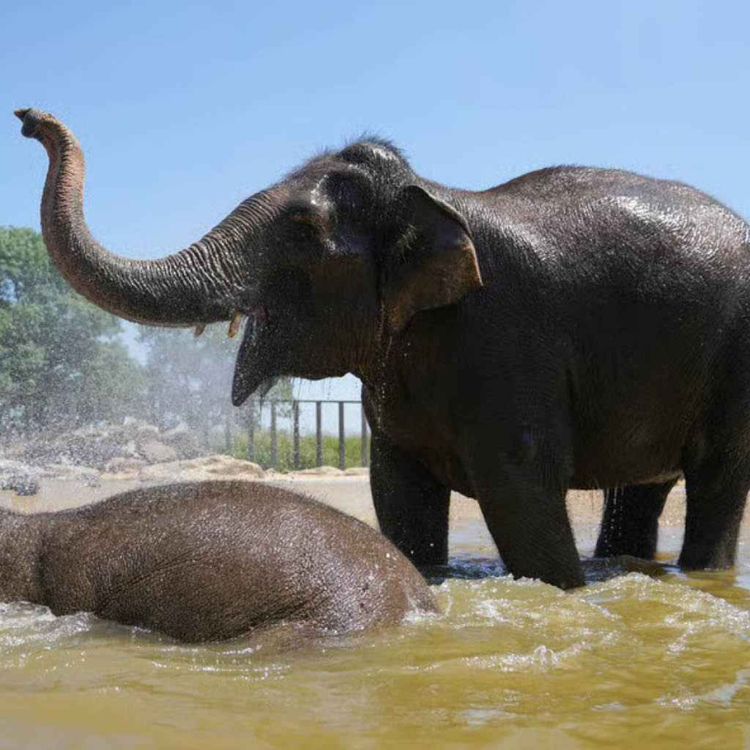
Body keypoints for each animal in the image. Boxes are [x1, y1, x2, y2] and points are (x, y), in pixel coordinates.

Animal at [16, 107, 750, 589]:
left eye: (302, 229)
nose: (28, 119)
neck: (433, 196)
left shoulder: (509, 339)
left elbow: (521, 490)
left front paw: (560, 592)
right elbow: (399, 494)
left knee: (717, 475)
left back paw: (700, 575)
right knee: (644, 487)